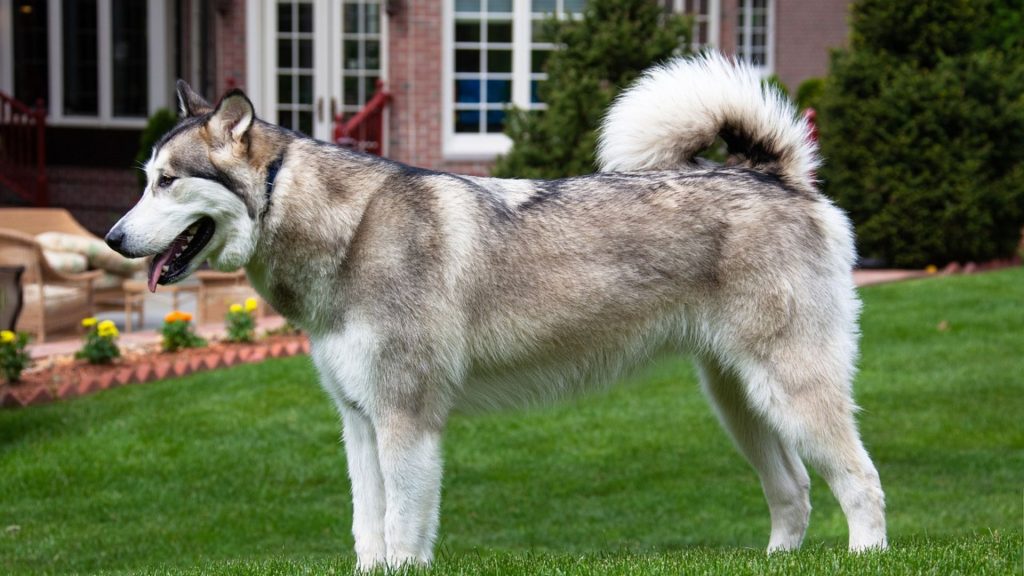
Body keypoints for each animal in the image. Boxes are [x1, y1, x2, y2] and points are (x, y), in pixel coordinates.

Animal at [105, 52, 888, 565]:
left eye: (167, 182)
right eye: (143, 180)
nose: (112, 239)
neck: (346, 231)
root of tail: (778, 177)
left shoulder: (407, 422)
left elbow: (401, 534)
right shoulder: (359, 423)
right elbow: (368, 531)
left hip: (791, 391)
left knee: (861, 482)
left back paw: (866, 553)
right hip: (739, 401)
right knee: (794, 490)